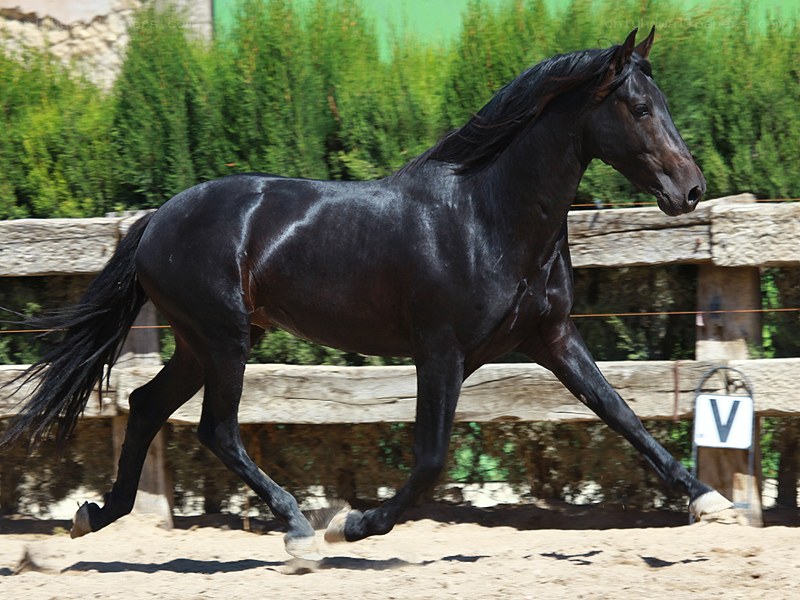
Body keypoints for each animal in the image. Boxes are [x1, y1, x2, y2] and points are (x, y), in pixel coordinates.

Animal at [1, 28, 732, 560]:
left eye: (664, 105)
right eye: (639, 108)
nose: (691, 189)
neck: (487, 214)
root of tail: (156, 219)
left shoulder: (551, 338)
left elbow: (624, 415)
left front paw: (711, 502)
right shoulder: (440, 353)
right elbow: (431, 459)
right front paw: (353, 524)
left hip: (202, 341)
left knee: (147, 404)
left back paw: (99, 513)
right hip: (223, 338)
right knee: (216, 428)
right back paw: (298, 525)